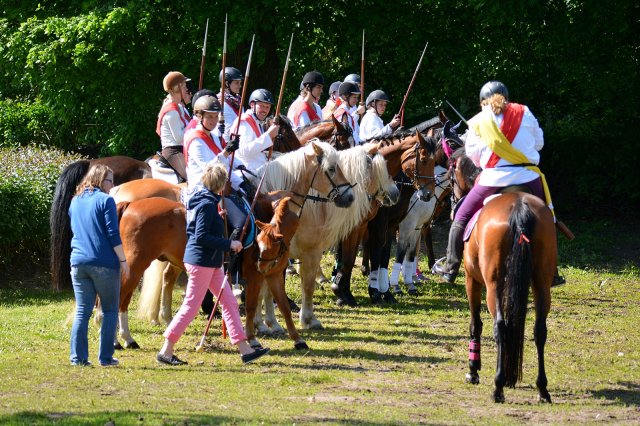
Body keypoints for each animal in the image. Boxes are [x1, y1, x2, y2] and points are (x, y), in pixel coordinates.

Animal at [462, 191, 556, 404]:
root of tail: (520, 208)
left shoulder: (471, 279)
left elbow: (475, 324)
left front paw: (473, 370)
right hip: (541, 282)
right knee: (540, 330)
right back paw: (542, 389)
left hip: (493, 284)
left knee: (500, 326)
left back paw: (498, 387)